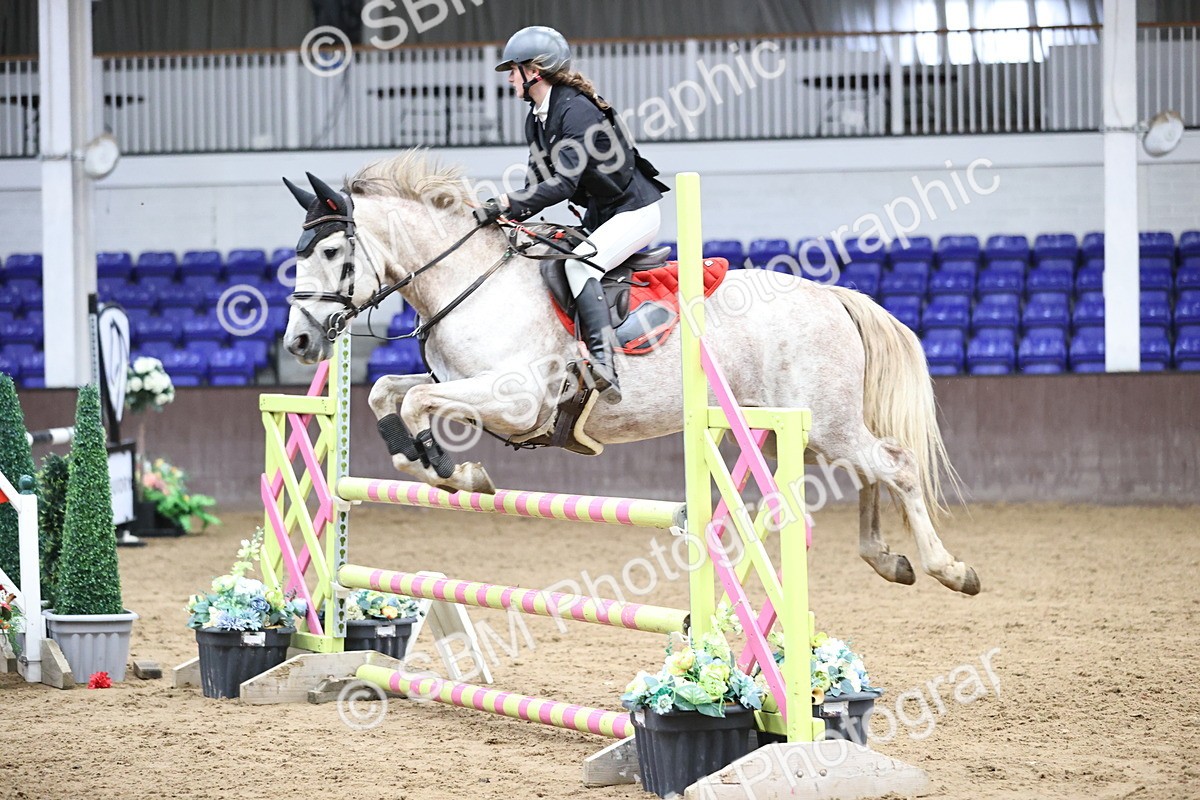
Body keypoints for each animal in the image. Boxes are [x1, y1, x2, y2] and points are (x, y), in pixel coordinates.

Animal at [280, 150, 979, 596]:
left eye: (334, 251)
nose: (300, 341)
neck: (469, 282)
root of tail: (832, 296)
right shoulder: (462, 388)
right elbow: (386, 394)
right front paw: (437, 467)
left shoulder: (519, 400)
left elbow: (418, 404)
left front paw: (458, 472)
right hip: (813, 428)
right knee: (870, 471)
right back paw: (888, 561)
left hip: (826, 422)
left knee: (896, 466)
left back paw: (949, 569)